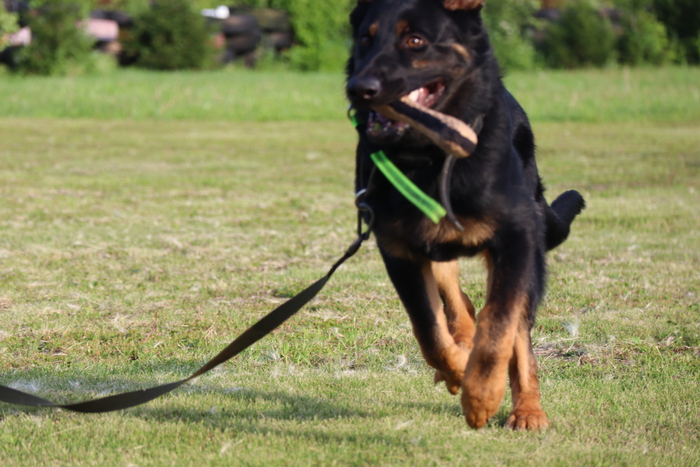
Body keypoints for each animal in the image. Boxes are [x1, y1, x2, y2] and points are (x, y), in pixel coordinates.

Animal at [345, 0, 585, 430]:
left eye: (416, 40)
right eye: (365, 39)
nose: (359, 88)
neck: (428, 158)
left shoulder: (516, 240)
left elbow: (499, 327)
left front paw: (482, 394)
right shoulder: (399, 252)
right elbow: (429, 331)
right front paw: (457, 368)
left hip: (524, 259)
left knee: (517, 335)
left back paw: (527, 410)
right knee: (459, 306)